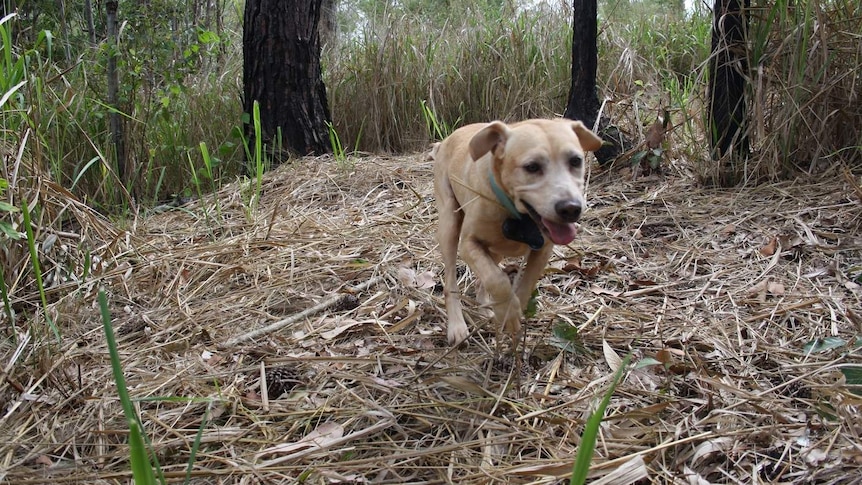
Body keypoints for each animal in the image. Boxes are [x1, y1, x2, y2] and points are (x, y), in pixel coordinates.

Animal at [430, 118, 604, 344]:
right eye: (532, 167)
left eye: (575, 161)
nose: (571, 208)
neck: (518, 215)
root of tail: (445, 140)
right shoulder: (468, 244)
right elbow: (497, 280)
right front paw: (508, 314)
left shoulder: (543, 250)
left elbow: (524, 285)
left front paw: (512, 311)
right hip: (449, 225)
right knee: (451, 281)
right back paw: (457, 326)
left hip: (494, 251)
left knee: (481, 281)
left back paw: (487, 309)